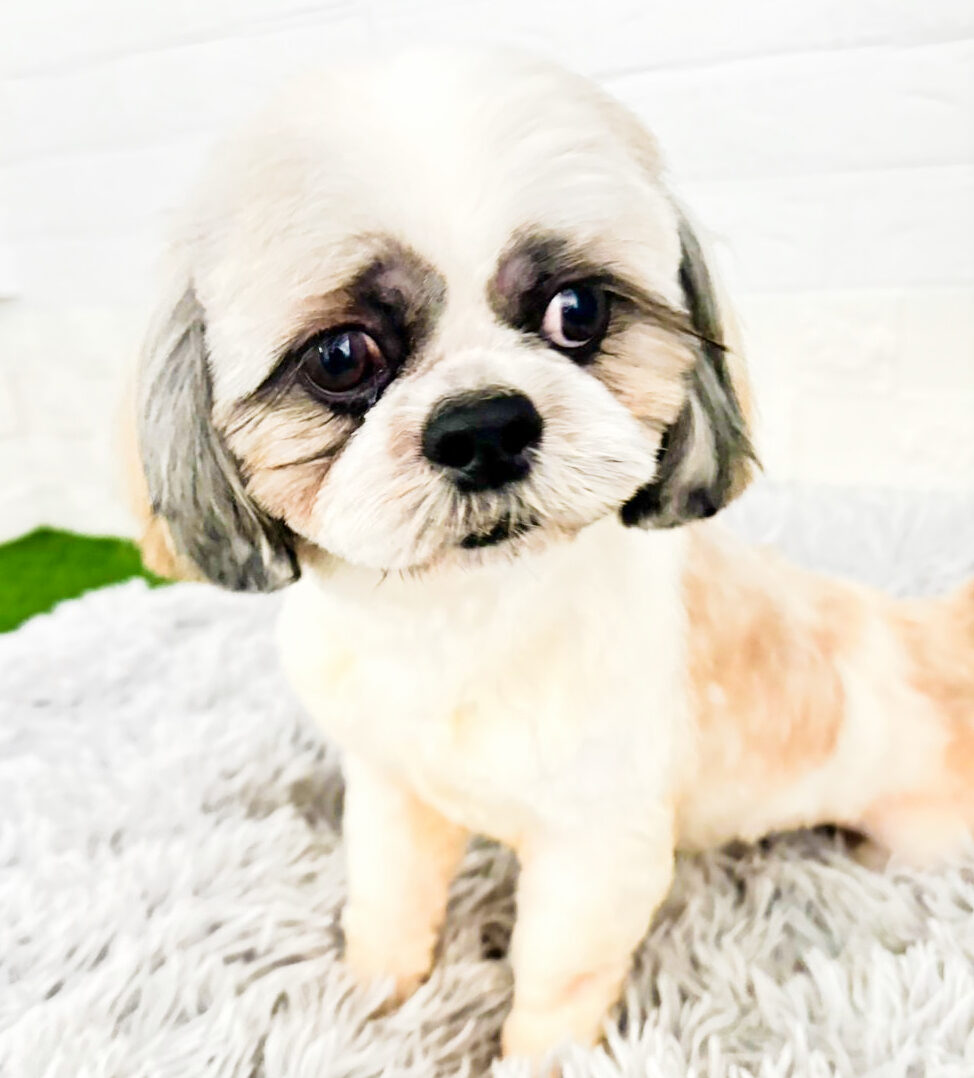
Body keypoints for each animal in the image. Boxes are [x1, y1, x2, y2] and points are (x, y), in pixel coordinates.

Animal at [132, 47, 974, 1068]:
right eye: (340, 356)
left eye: (578, 310)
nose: (485, 424)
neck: (456, 621)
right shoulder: (390, 787)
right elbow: (388, 902)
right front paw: (365, 1013)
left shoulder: (598, 848)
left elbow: (555, 981)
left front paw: (531, 1061)